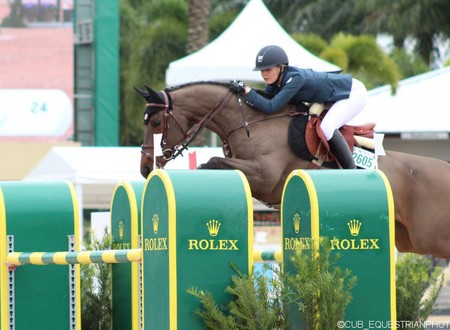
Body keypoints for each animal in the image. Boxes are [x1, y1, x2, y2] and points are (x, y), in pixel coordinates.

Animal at [135, 81, 450, 260]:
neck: (248, 122)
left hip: (431, 237)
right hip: (409, 241)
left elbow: (212, 162)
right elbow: (213, 165)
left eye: (155, 123)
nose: (145, 168)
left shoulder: (263, 176)